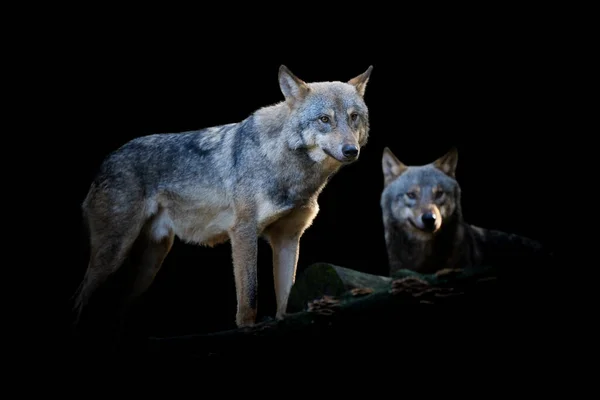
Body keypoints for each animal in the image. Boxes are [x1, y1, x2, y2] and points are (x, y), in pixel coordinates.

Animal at [74, 65, 376, 328]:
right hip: (113, 256)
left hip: (149, 264)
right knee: (79, 299)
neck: (287, 168)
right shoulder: (243, 232)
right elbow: (249, 299)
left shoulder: (288, 239)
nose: (351, 151)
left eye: (353, 117)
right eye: (324, 119)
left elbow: (285, 302)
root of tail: (105, 163)